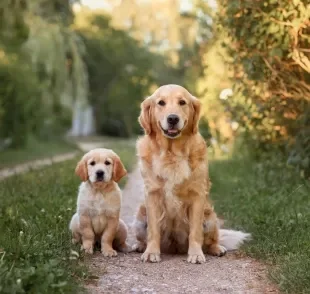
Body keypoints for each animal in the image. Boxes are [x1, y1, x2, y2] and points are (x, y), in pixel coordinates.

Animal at [133, 84, 249, 262]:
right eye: (161, 103)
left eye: (182, 102)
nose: (173, 119)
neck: (172, 153)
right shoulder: (152, 195)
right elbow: (153, 230)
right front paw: (151, 252)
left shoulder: (197, 196)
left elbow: (195, 232)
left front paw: (195, 254)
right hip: (139, 219)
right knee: (143, 236)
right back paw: (139, 246)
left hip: (210, 218)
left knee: (212, 239)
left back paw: (217, 248)